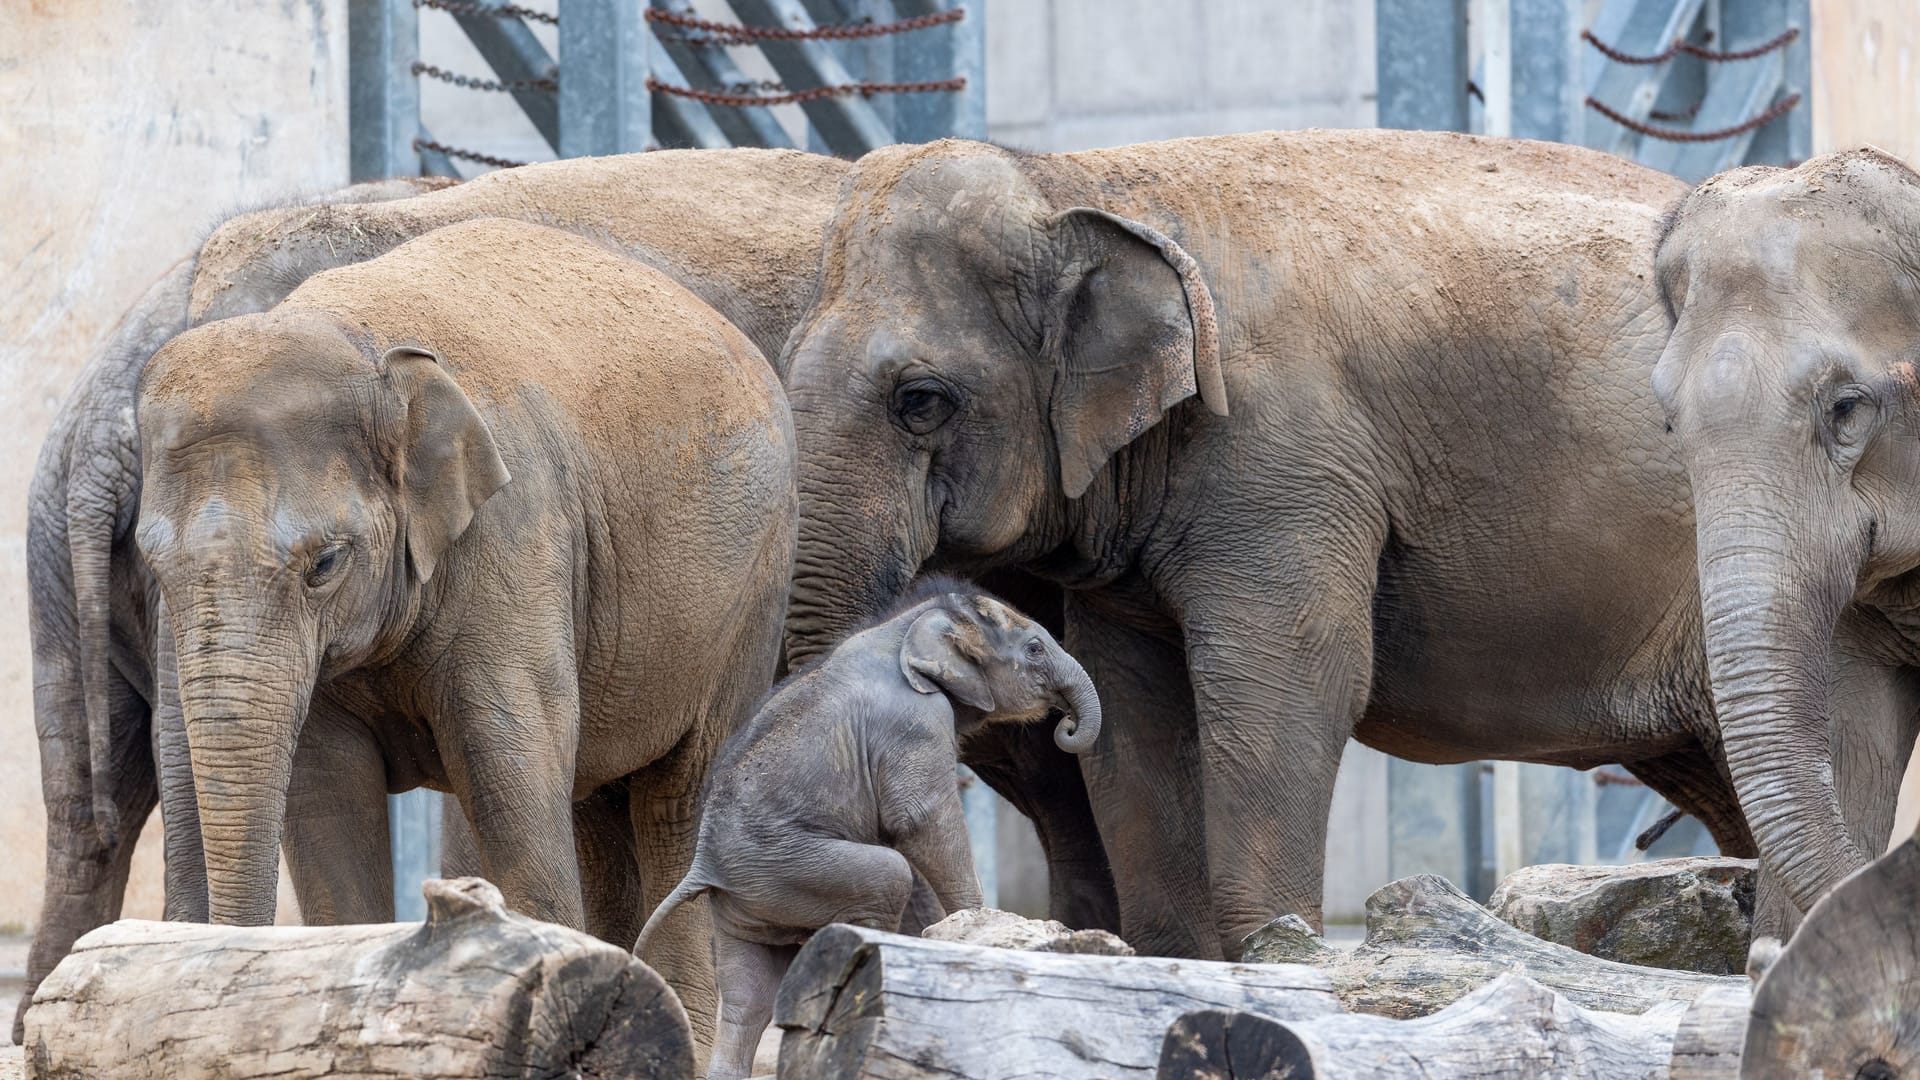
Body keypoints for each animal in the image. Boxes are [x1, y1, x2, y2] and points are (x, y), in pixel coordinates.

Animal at [637, 580, 1105, 1076]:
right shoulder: (915, 721)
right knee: (887, 877)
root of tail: (701, 864)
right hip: (785, 867)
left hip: (744, 900)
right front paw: (978, 925)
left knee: (749, 997)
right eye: (1034, 649)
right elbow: (918, 816)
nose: (1066, 725)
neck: (909, 622)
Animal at [783, 127, 1758, 957]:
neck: (1083, 179)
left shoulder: (1287, 462)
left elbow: (1287, 685)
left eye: (921, 400)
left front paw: (1278, 951)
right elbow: (1133, 711)